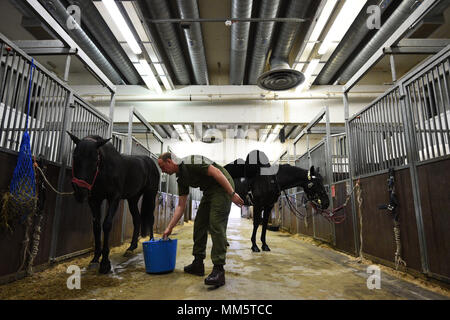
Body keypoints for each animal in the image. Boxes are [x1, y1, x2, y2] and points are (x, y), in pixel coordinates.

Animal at [66, 132, 159, 272]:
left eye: (95, 160)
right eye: (75, 156)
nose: (80, 191)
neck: (104, 170)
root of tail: (151, 162)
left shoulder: (114, 198)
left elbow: (107, 224)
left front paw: (105, 263)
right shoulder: (94, 200)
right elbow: (96, 226)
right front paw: (95, 259)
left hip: (150, 194)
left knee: (150, 217)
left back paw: (152, 241)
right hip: (133, 198)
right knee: (137, 219)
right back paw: (131, 248)